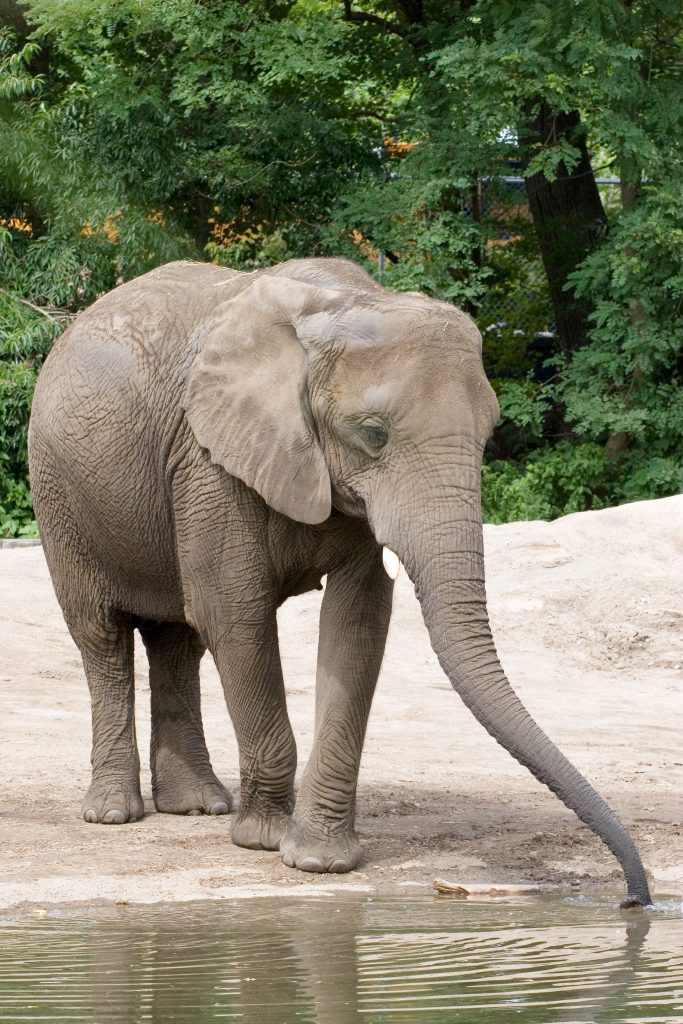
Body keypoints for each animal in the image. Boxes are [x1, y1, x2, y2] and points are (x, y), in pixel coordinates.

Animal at [28, 257, 652, 906]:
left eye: (488, 434)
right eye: (373, 433)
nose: (635, 898)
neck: (345, 304)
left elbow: (357, 621)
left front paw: (320, 862)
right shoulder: (208, 463)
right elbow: (237, 615)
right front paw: (263, 841)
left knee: (178, 641)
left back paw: (197, 807)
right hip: (57, 492)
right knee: (101, 637)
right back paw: (113, 814)